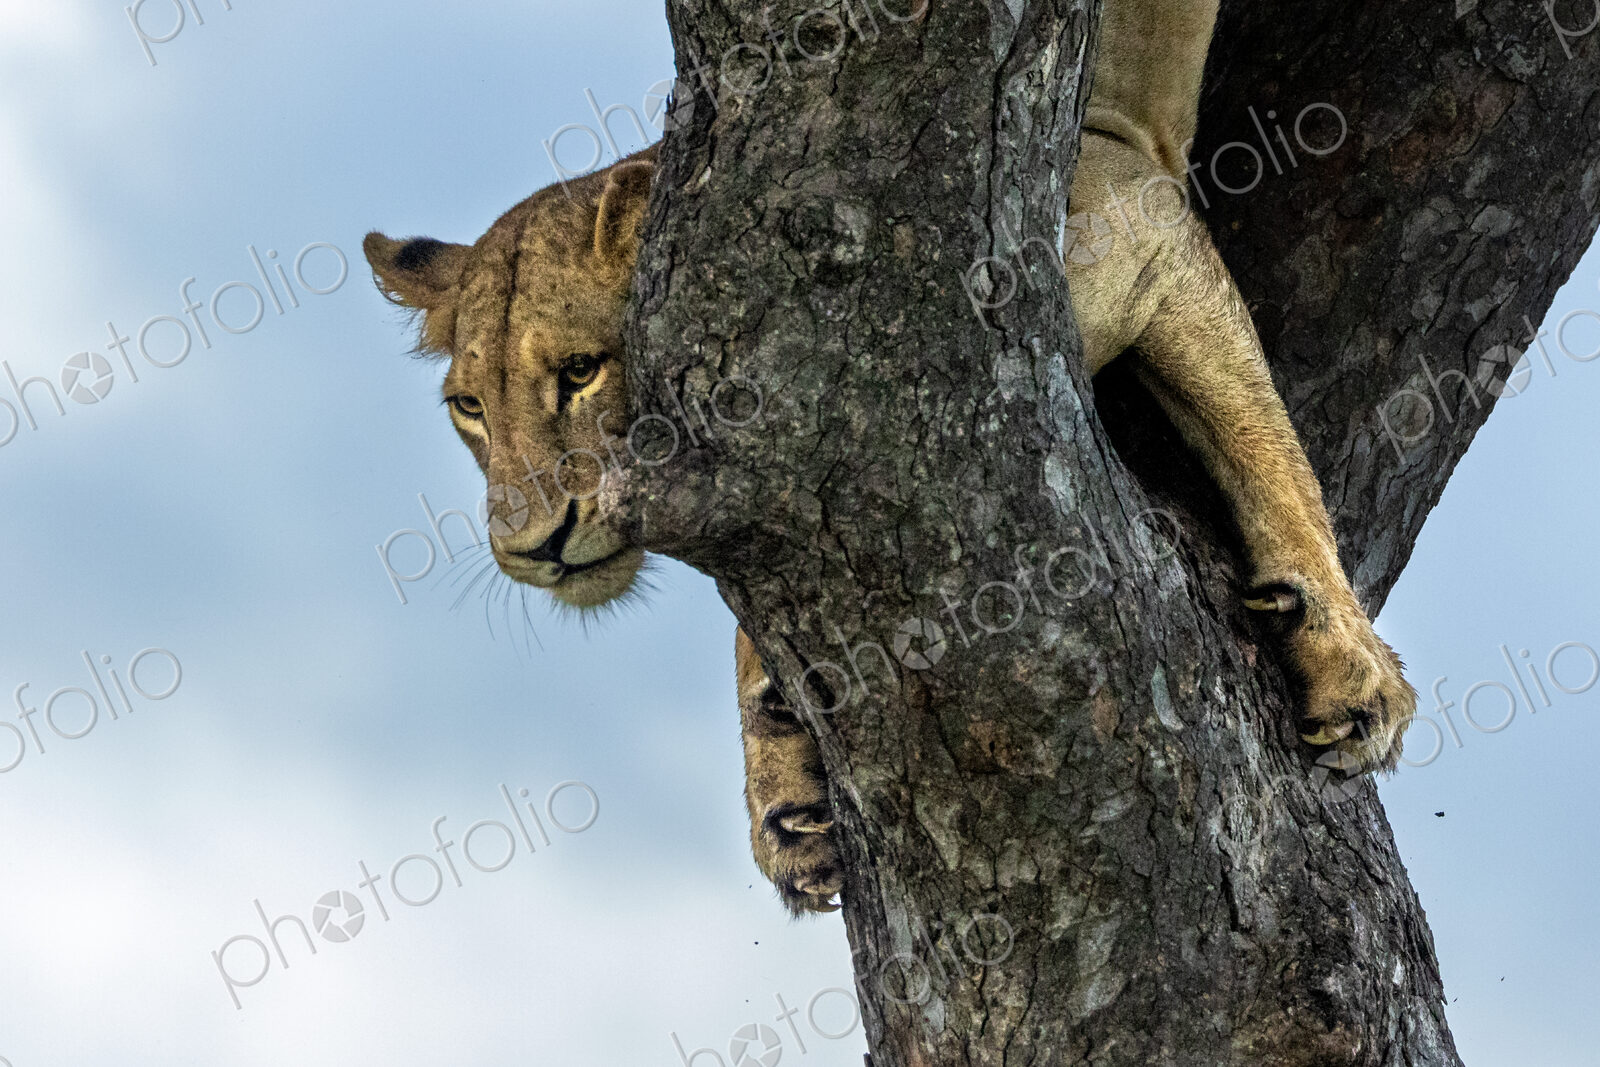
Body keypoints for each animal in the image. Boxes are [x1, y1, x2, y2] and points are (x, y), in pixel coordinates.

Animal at [363, 0, 1416, 916]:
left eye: (581, 372)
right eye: (468, 408)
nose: (531, 546)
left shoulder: (1138, 207)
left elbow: (1264, 437)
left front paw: (1353, 669)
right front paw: (783, 790)